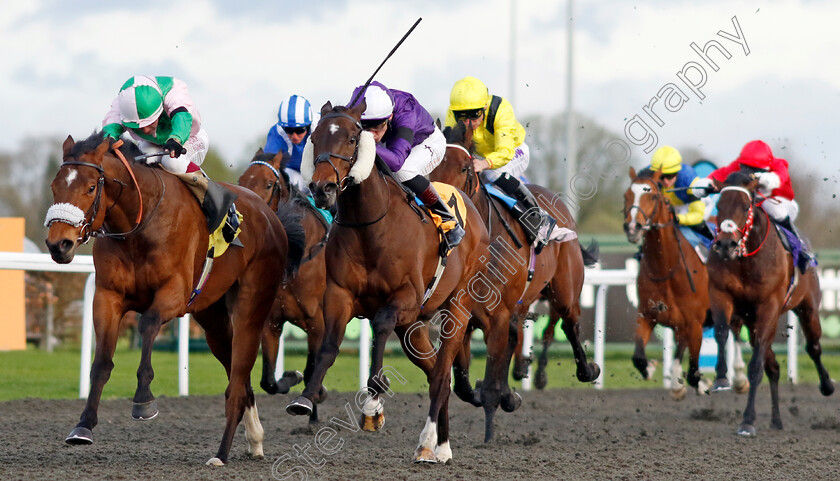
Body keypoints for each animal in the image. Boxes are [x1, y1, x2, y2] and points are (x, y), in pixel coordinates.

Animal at [44, 131, 304, 464]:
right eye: (55, 186)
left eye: (91, 187)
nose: (58, 244)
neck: (138, 225)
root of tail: (272, 217)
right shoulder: (107, 296)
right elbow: (101, 361)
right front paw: (83, 425)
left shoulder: (174, 294)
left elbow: (148, 324)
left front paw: (143, 400)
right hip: (213, 319)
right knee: (239, 376)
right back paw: (255, 438)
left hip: (251, 305)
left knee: (238, 378)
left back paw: (221, 453)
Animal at [238, 149, 330, 420]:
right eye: (241, 179)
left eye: (269, 184)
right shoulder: (272, 322)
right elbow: (268, 380)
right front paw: (291, 376)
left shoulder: (317, 323)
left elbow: (312, 370)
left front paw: (313, 399)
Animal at [286, 100, 486, 462]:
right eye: (315, 138)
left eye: (353, 139)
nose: (322, 188)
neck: (371, 226)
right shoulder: (339, 295)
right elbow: (328, 347)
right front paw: (305, 397)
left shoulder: (405, 297)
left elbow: (379, 325)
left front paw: (373, 402)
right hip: (413, 328)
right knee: (435, 372)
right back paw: (440, 445)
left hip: (457, 307)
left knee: (441, 374)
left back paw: (431, 445)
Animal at [430, 122, 600, 436]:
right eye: (432, 166)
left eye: (464, 168)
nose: (443, 207)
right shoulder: (463, 314)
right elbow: (462, 381)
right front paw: (495, 391)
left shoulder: (495, 313)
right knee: (515, 336)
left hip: (564, 291)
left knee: (569, 323)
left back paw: (587, 369)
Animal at [708, 172, 832, 436]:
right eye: (719, 206)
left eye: (745, 206)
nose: (725, 245)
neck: (746, 259)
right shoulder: (721, 294)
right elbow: (722, 332)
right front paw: (721, 378)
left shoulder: (769, 306)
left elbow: (755, 366)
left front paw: (747, 421)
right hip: (752, 321)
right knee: (773, 366)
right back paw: (776, 419)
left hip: (807, 308)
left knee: (813, 347)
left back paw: (827, 385)